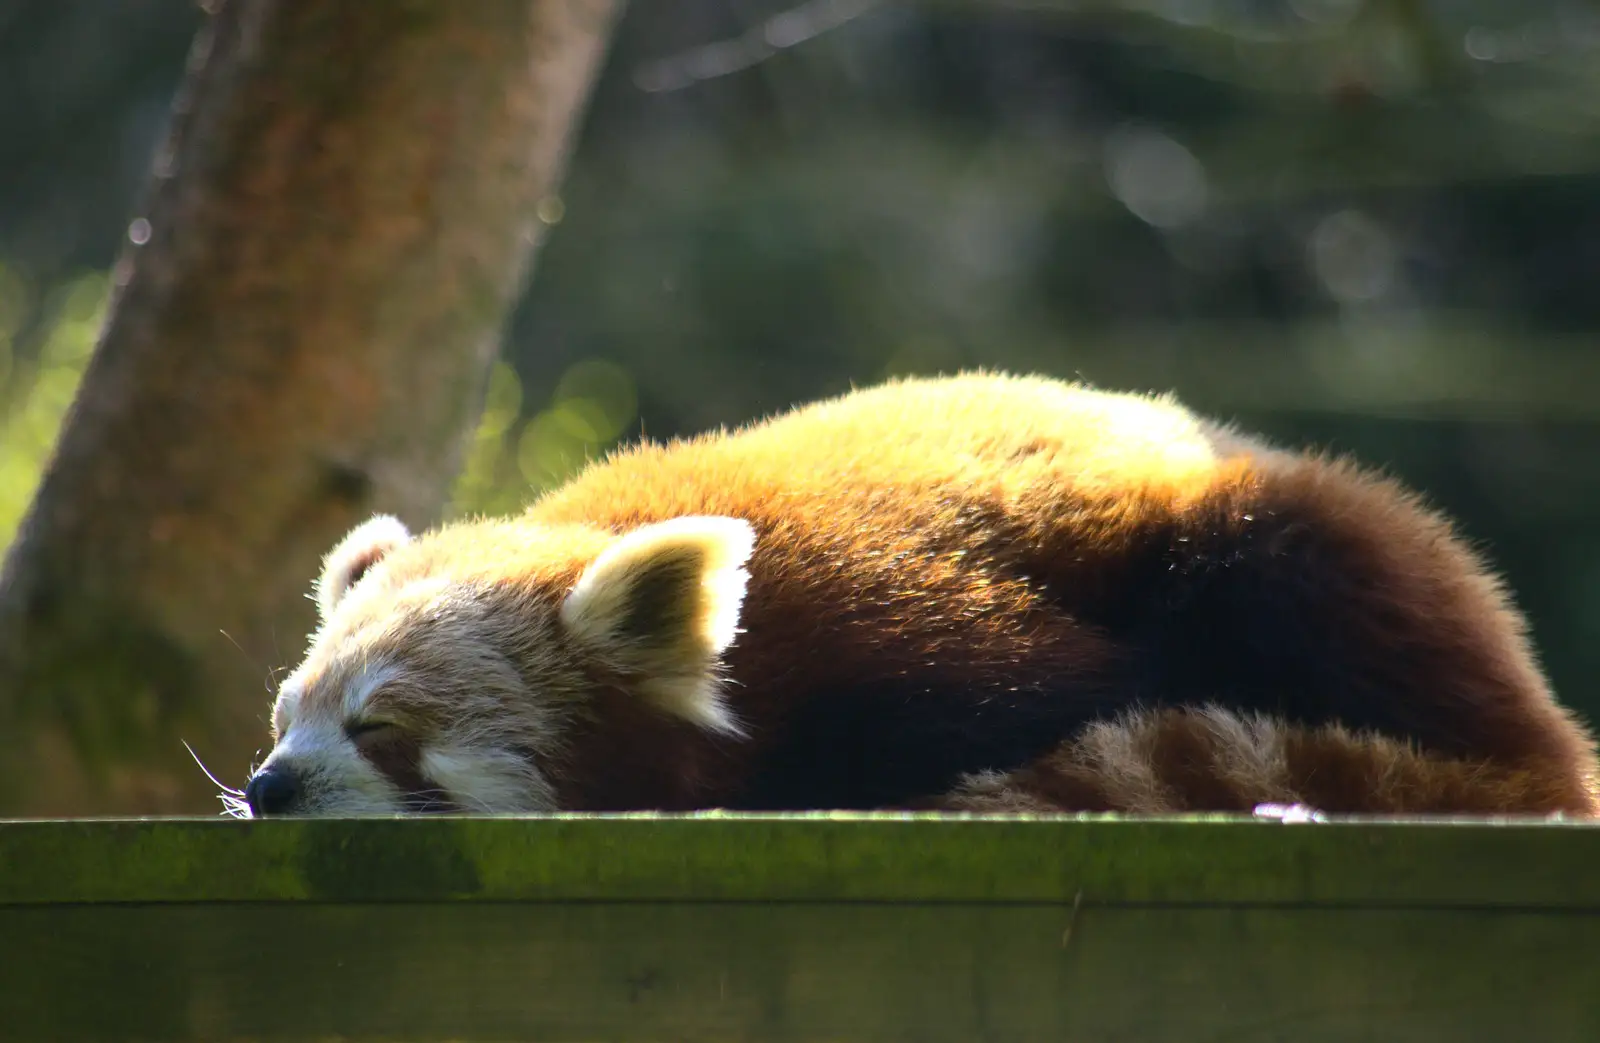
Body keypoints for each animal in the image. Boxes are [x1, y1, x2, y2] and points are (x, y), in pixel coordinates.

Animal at [236, 371, 1600, 819]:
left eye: (383, 727)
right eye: (285, 716)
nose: (268, 785)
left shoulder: (899, 617)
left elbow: (1045, 692)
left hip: (1282, 543)